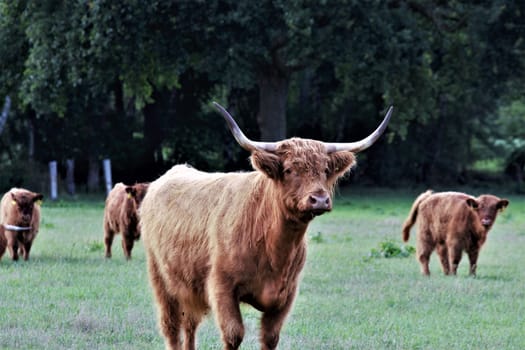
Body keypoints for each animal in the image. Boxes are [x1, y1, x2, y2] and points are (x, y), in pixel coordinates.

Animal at [139, 102, 392, 350]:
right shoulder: (221, 287)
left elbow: (270, 337)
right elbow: (233, 335)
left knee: (190, 325)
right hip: (161, 279)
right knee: (171, 327)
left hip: (188, 287)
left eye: (325, 170)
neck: (274, 247)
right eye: (289, 169)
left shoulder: (286, 294)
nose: (320, 199)